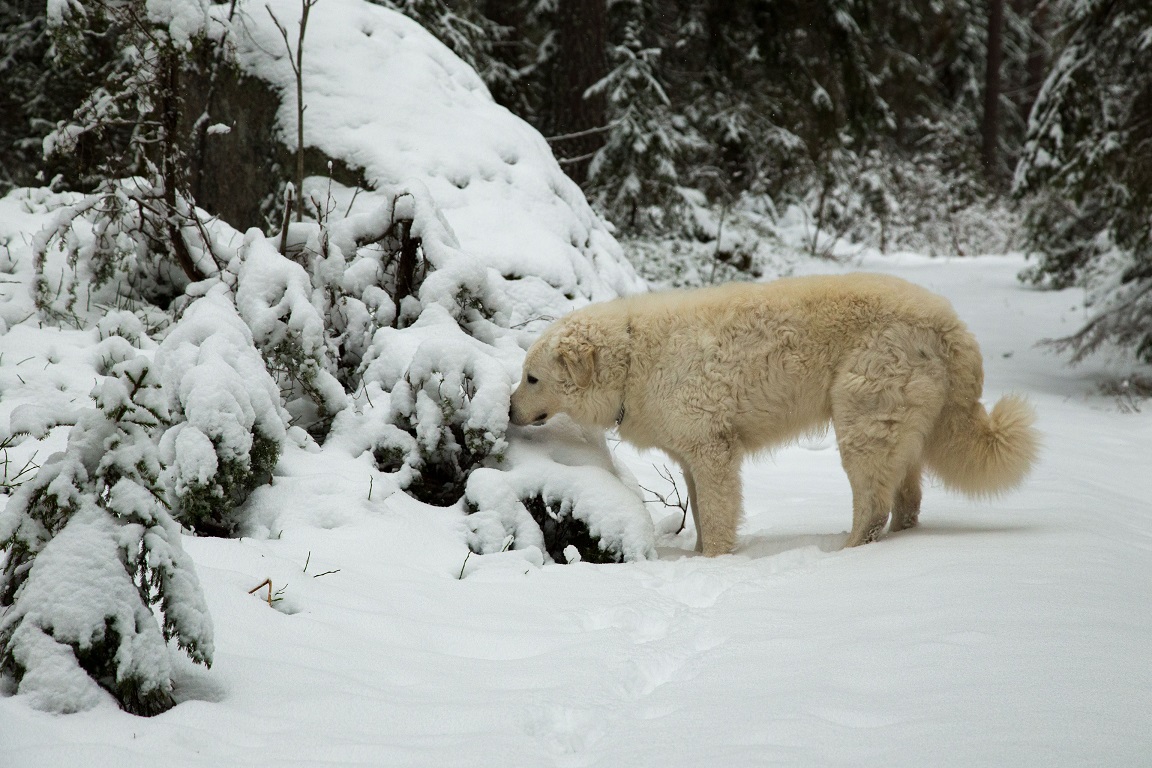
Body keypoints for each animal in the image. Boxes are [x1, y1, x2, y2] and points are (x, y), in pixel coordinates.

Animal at [509, 272, 1041, 554]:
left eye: (531, 378)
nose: (508, 410)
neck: (635, 357)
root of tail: (952, 328)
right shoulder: (691, 453)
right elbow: (699, 509)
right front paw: (697, 555)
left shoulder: (712, 448)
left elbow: (716, 513)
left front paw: (713, 559)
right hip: (898, 428)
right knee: (906, 499)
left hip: (863, 420)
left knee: (873, 503)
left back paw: (846, 550)